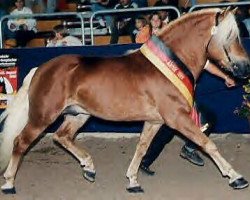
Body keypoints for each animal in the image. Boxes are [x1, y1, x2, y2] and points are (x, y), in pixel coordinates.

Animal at [0, 7, 249, 194]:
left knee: (62, 137)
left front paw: (133, 181)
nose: (244, 67)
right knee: (20, 142)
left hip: (79, 114)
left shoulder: (155, 121)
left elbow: (142, 148)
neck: (170, 65)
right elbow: (208, 144)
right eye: (230, 36)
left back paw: (89, 168)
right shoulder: (177, 118)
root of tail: (41, 69)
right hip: (42, 116)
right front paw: (236, 177)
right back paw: (9, 183)